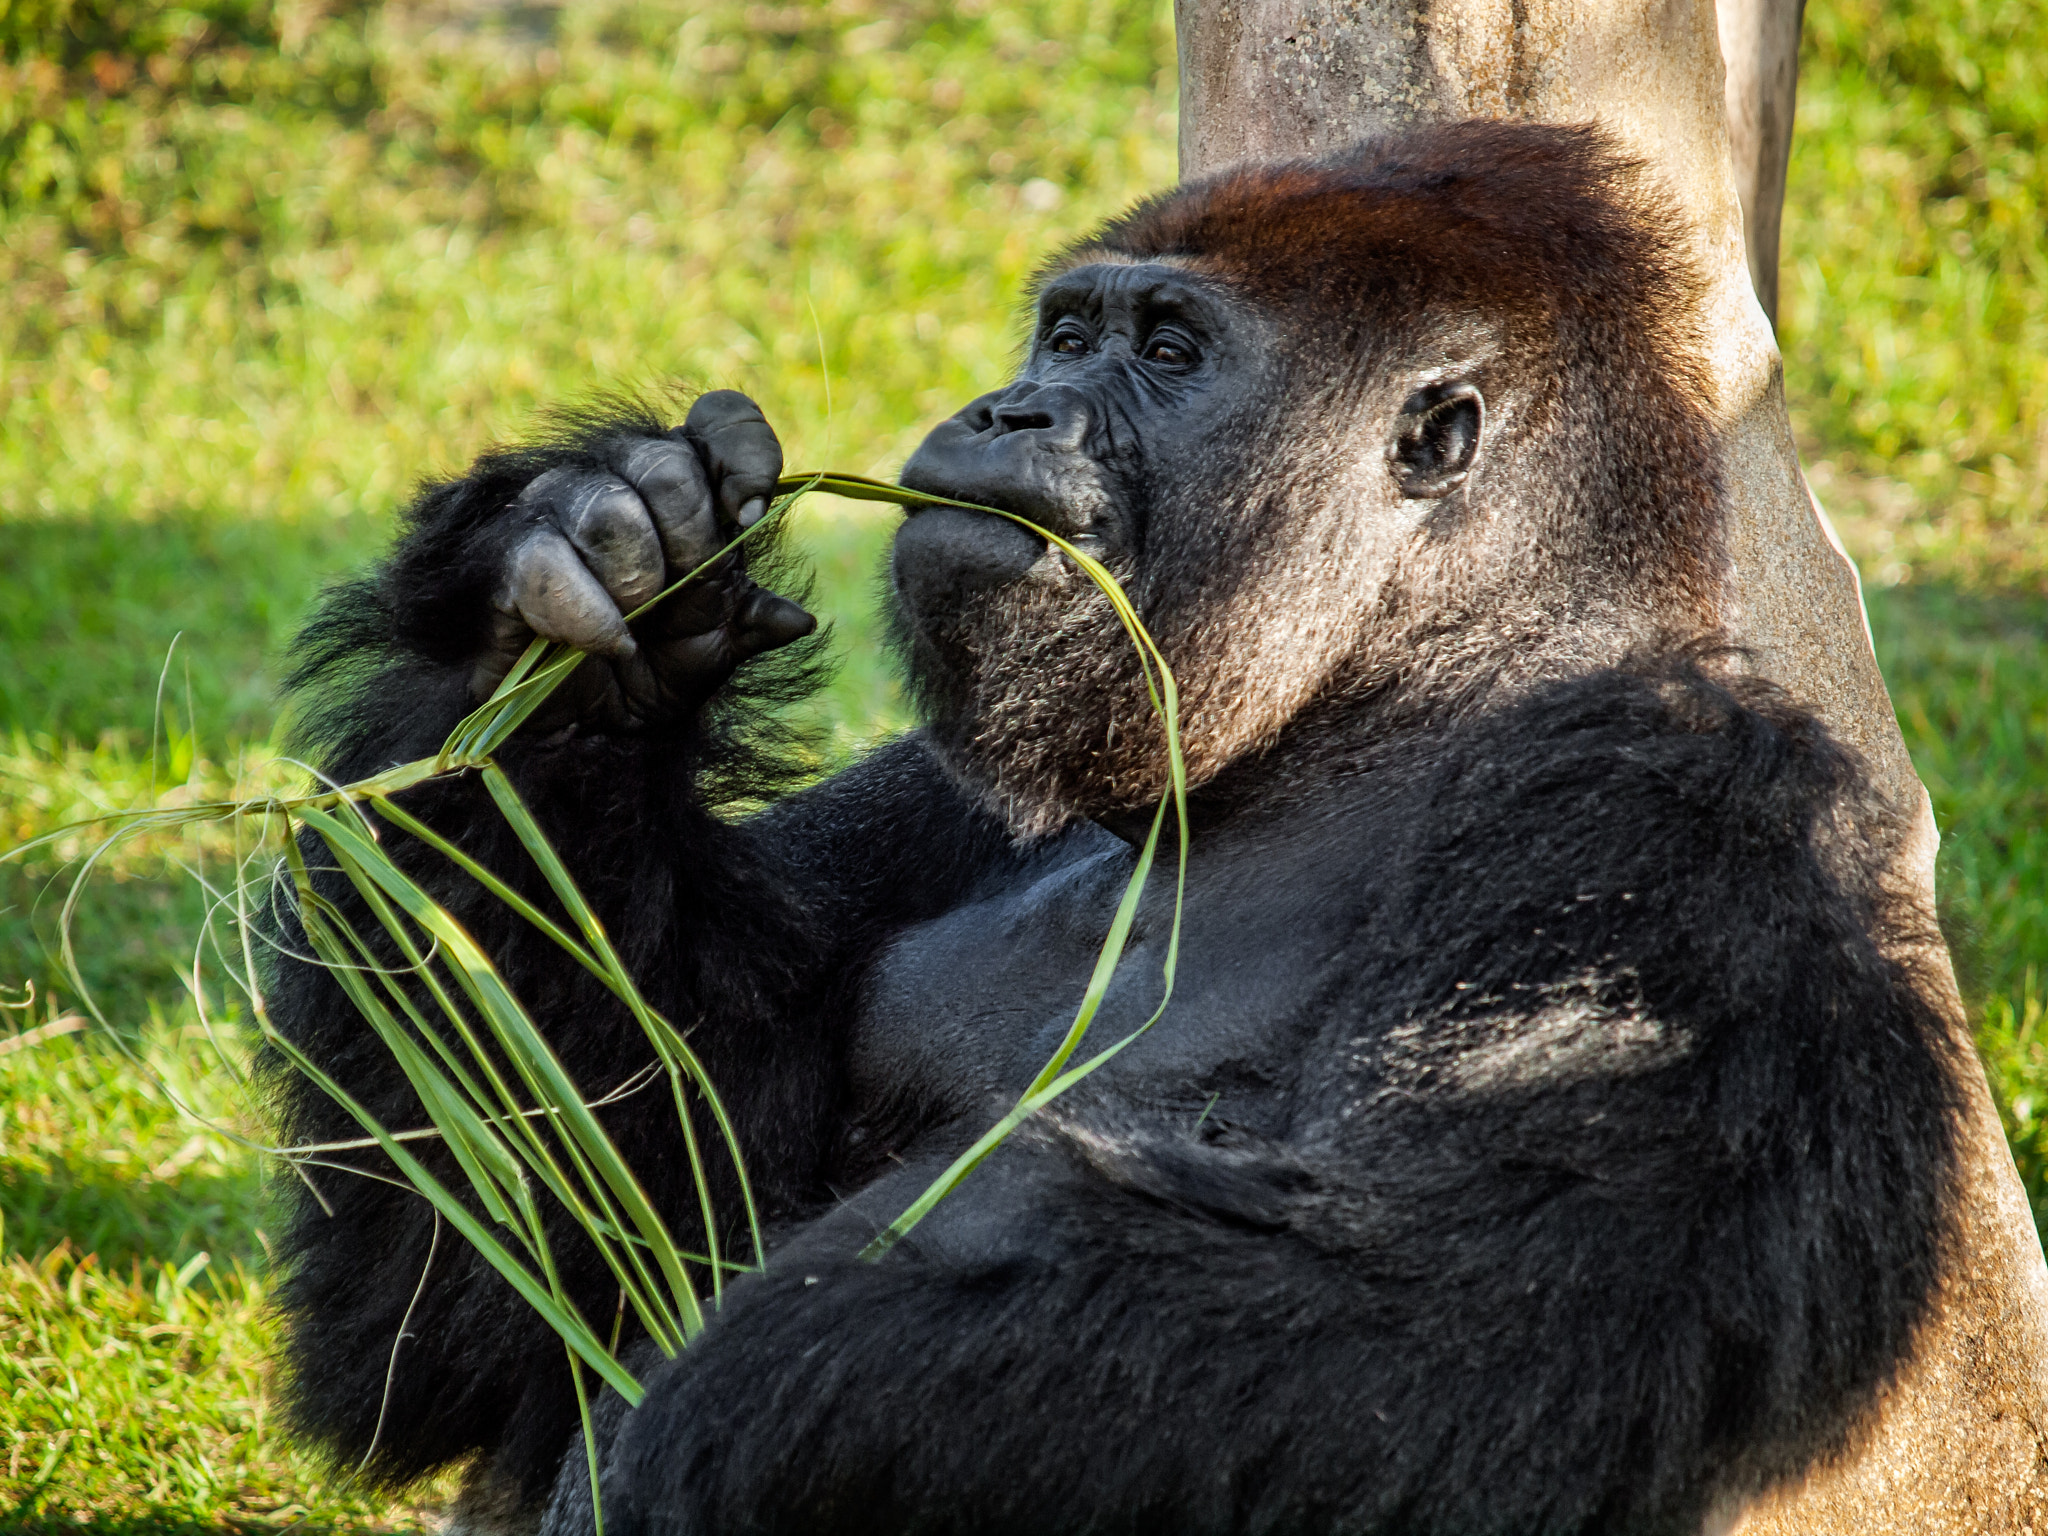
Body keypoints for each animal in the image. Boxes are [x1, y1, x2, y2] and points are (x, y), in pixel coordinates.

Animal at [269, 122, 1962, 1536]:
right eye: (1066, 335)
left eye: (1165, 349)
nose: (1007, 406)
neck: (1386, 700)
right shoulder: (943, 793)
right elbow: (546, 1242)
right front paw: (578, 591)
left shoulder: (1661, 813)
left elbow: (1428, 1307)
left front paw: (741, 1397)